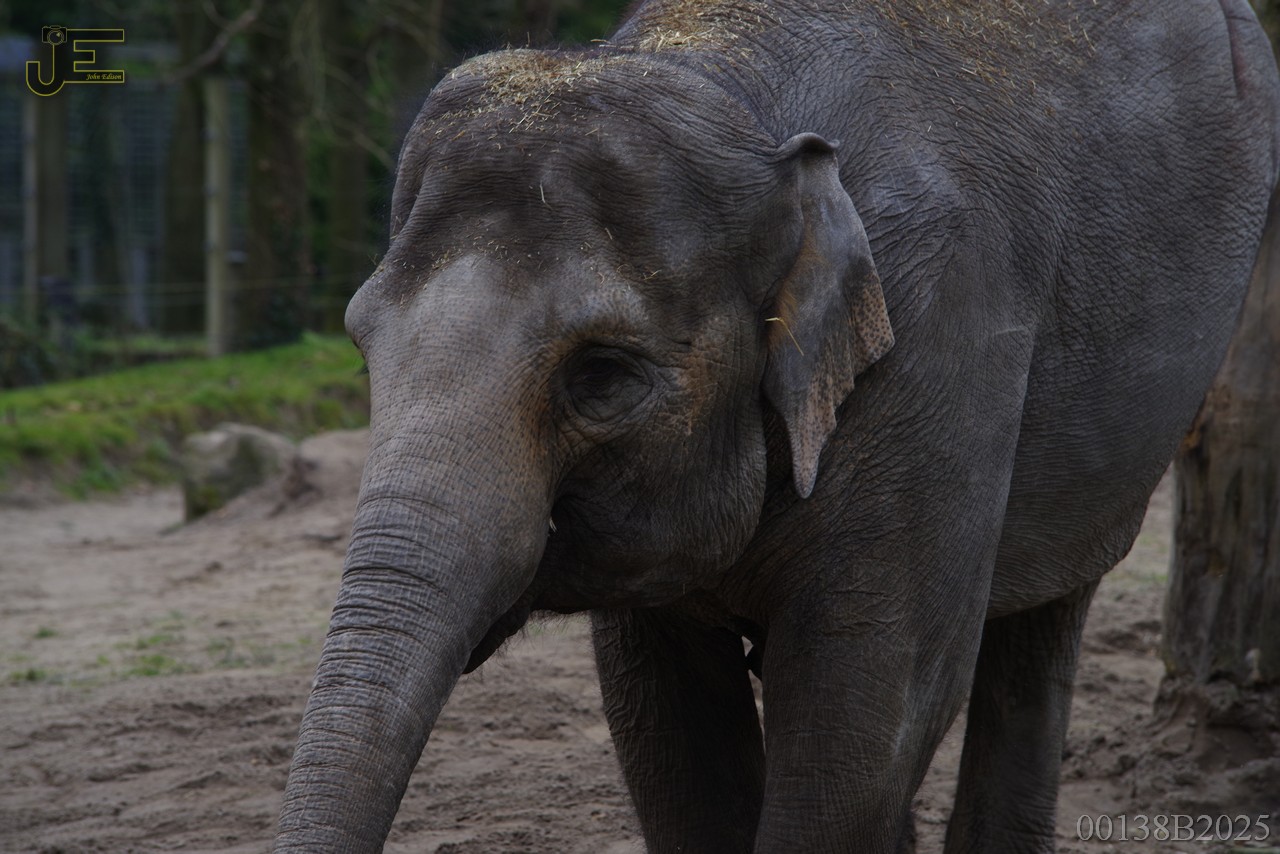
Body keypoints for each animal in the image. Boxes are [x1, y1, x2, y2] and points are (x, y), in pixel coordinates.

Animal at [276, 0, 1280, 851]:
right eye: (364, 348)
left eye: (601, 377)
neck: (729, 90)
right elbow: (668, 730)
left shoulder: (941, 339)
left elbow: (868, 713)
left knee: (1043, 624)